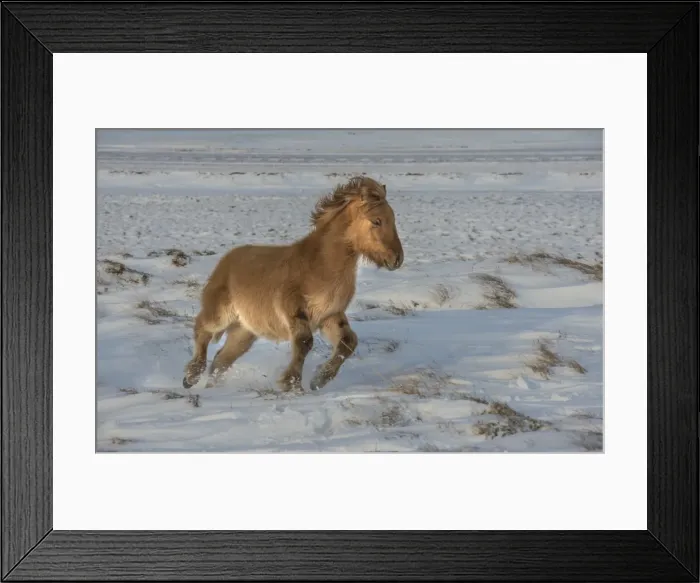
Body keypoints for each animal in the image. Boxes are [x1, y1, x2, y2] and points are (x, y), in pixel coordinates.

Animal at [182, 176, 404, 392]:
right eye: (376, 221)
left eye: (393, 218)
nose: (397, 259)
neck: (321, 265)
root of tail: (225, 262)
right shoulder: (295, 311)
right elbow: (304, 342)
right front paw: (291, 384)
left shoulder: (330, 315)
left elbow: (348, 342)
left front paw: (319, 380)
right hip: (221, 315)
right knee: (202, 329)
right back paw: (191, 377)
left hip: (244, 332)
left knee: (221, 360)